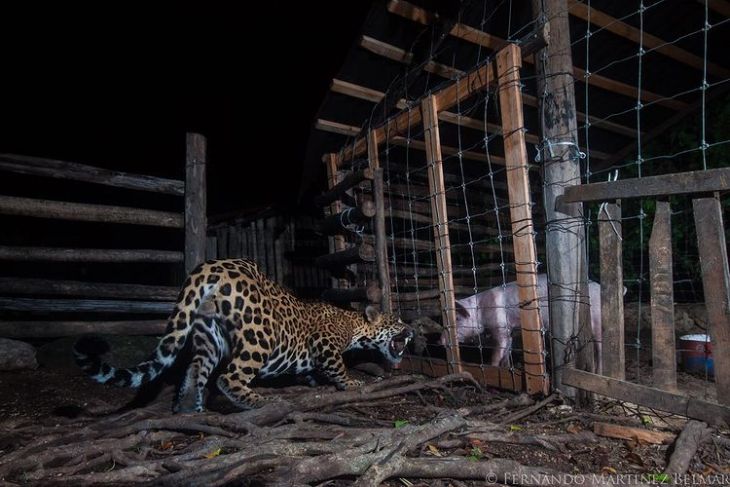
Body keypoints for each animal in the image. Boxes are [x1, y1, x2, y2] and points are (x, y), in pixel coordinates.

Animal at [440, 274, 600, 370]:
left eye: (457, 319)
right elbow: (507, 350)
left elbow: (498, 350)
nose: (438, 341)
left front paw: (492, 367)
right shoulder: (510, 330)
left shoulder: (500, 326)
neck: (481, 311)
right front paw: (506, 368)